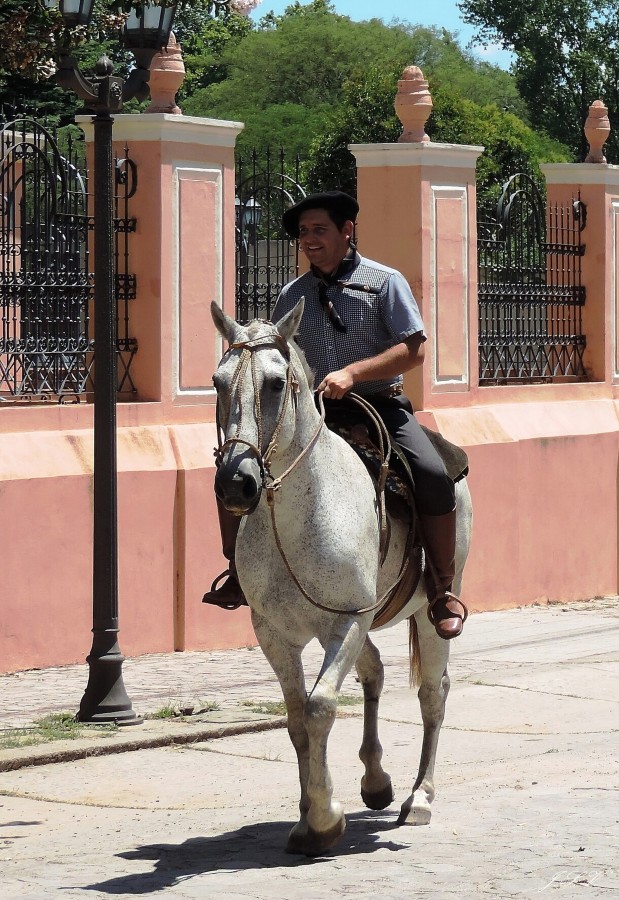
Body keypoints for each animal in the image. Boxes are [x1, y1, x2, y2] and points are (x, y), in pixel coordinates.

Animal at [211, 300, 472, 856]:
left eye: (274, 383)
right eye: (218, 382)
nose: (236, 483)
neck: (295, 515)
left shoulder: (347, 620)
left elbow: (319, 708)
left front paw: (324, 821)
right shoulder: (275, 632)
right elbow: (295, 717)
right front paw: (307, 816)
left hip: (429, 609)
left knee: (432, 694)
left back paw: (419, 798)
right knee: (374, 670)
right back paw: (376, 781)